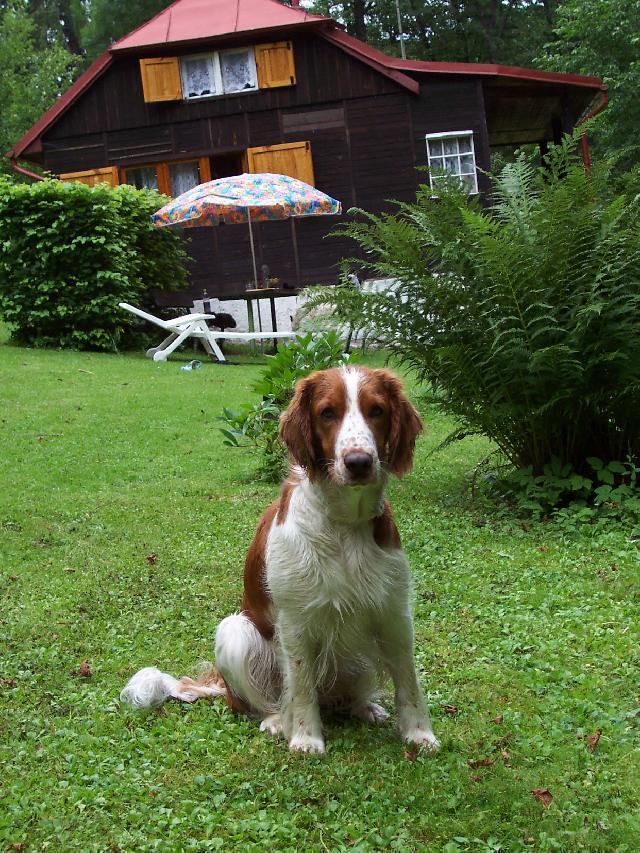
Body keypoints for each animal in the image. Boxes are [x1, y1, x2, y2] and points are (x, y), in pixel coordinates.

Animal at [120, 364, 440, 752]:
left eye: (376, 410)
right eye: (327, 413)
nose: (358, 462)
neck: (343, 523)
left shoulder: (393, 612)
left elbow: (409, 682)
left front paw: (419, 733)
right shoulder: (296, 620)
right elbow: (300, 685)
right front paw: (305, 738)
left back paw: (363, 706)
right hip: (235, 631)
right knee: (261, 701)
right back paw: (275, 721)